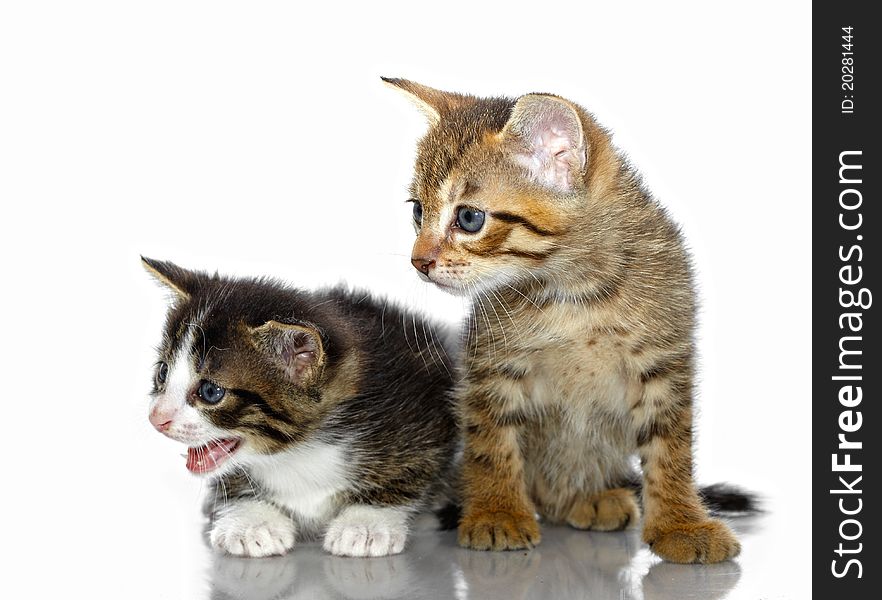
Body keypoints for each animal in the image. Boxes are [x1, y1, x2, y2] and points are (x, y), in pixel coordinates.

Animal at [384, 78, 744, 564]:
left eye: (469, 218)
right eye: (417, 211)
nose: (418, 261)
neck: (574, 293)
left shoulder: (664, 357)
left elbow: (670, 448)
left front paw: (681, 523)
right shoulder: (491, 363)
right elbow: (490, 442)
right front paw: (497, 512)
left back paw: (589, 497)